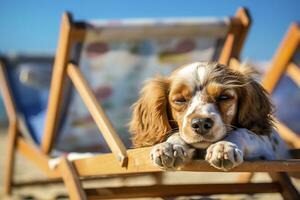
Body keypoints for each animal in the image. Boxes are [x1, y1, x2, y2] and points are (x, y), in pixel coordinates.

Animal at [130, 61, 290, 171]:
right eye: (180, 100)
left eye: (224, 97)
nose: (201, 123)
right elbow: (176, 135)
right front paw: (171, 146)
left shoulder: (268, 147)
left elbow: (244, 132)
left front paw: (224, 147)